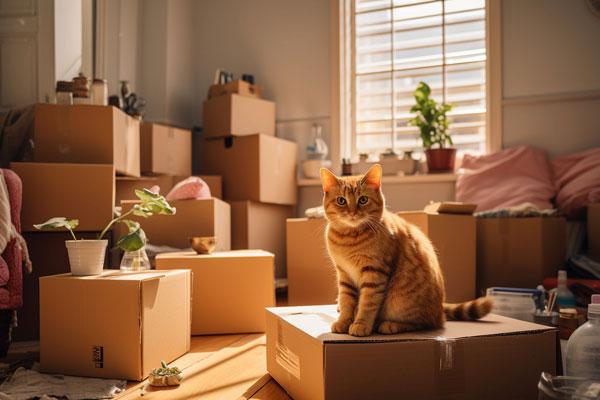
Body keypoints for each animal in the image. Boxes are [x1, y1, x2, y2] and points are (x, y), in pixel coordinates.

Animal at [322, 164, 490, 336]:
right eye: (341, 200)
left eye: (363, 199)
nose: (352, 212)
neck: (350, 238)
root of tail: (440, 310)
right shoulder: (344, 274)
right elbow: (346, 302)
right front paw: (343, 322)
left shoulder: (374, 274)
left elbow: (367, 304)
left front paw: (360, 324)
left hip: (403, 303)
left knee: (426, 324)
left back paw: (388, 325)